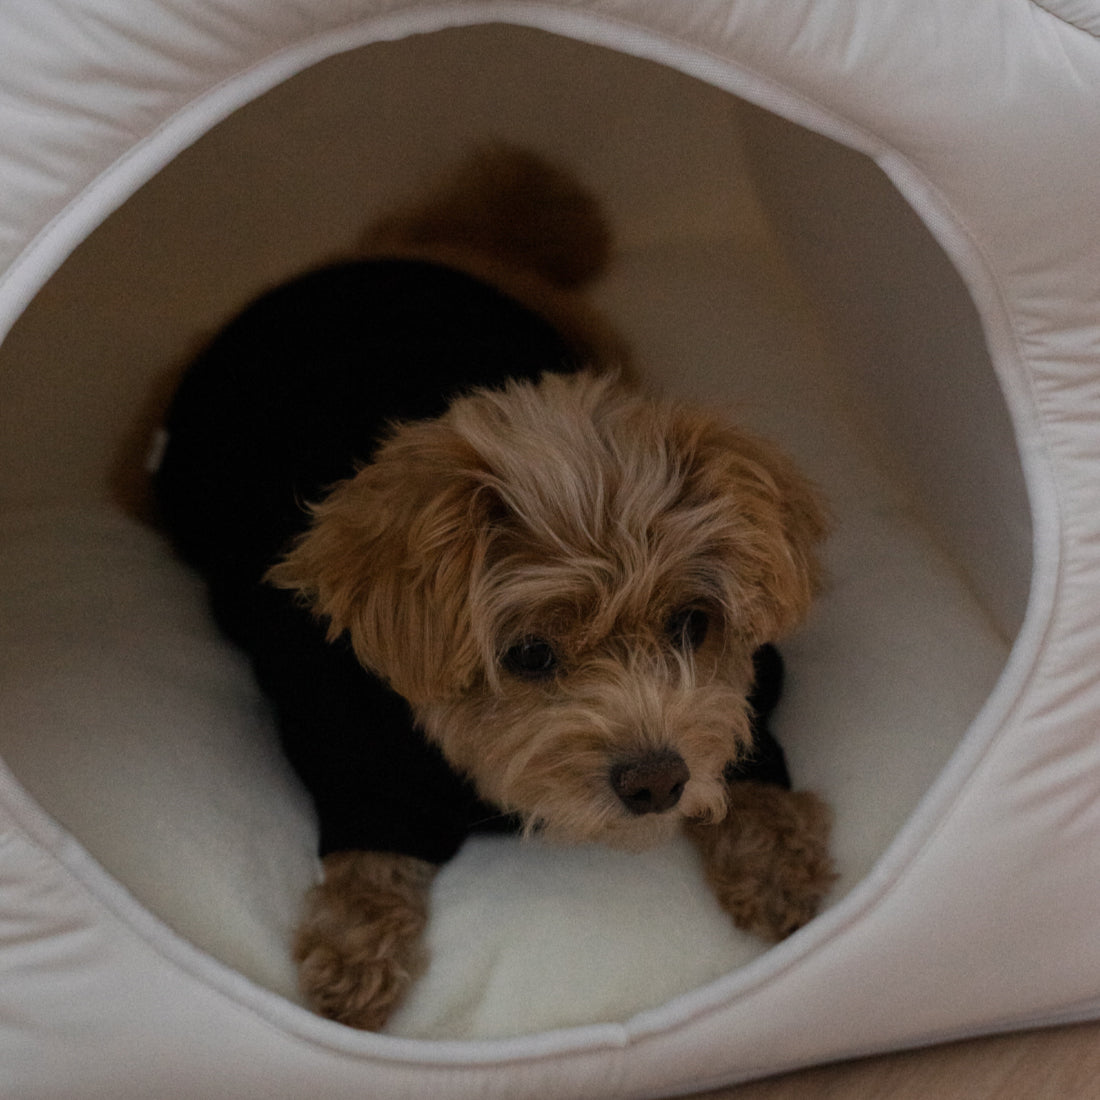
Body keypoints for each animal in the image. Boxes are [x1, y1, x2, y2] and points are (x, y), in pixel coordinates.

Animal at [150, 146, 827, 1029]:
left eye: (690, 624)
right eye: (530, 654)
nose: (657, 782)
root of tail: (375, 251)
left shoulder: (748, 697)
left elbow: (751, 765)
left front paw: (777, 866)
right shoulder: (350, 760)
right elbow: (367, 862)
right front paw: (350, 964)